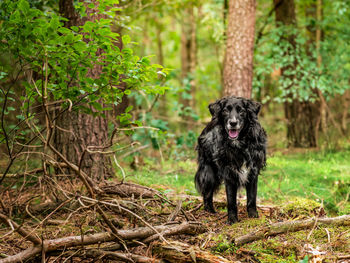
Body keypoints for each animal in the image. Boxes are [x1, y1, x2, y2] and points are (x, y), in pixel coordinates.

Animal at [196, 96, 266, 224]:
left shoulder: (253, 171)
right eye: (225, 111)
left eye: (241, 111)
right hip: (209, 172)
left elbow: (252, 197)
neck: (239, 144)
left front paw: (253, 215)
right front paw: (232, 219)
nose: (233, 123)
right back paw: (210, 211)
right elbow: (231, 200)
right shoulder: (228, 173)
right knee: (207, 193)